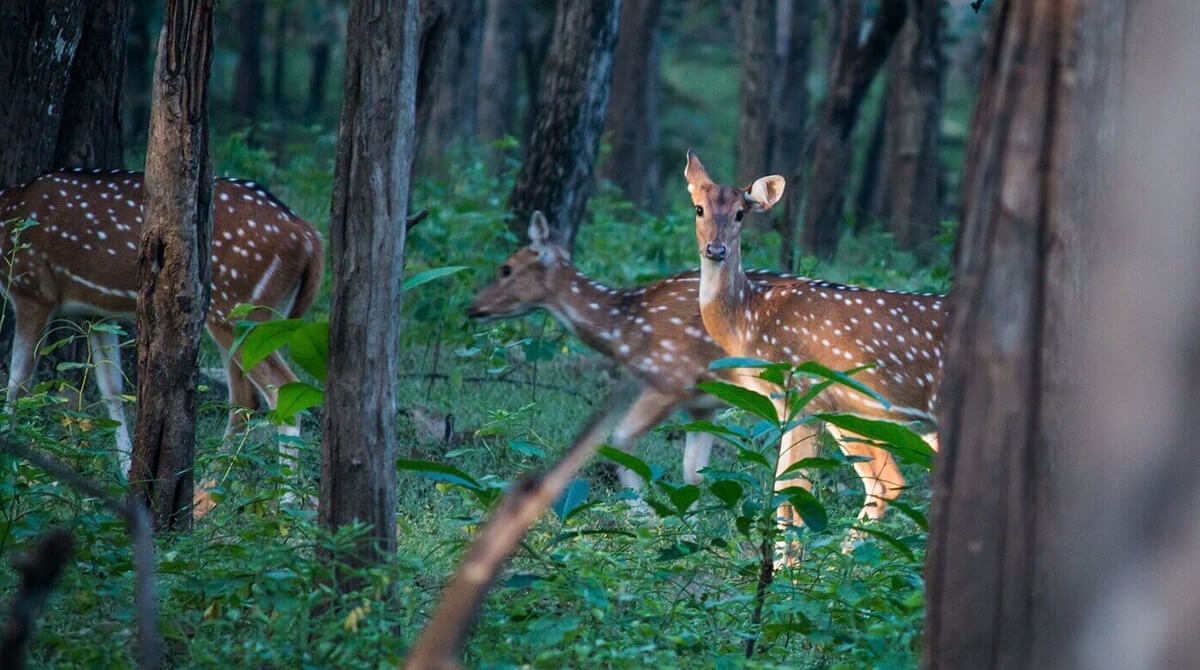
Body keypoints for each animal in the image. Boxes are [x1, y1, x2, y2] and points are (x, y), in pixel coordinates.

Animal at [0, 168, 326, 475]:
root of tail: (309, 237)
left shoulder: (31, 289)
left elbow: (18, 380)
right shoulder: (96, 312)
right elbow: (111, 388)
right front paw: (126, 470)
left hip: (236, 306)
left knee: (279, 390)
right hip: (256, 315)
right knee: (246, 399)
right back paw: (209, 484)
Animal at [468, 212, 796, 492]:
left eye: (506, 268)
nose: (472, 307)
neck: (622, 326)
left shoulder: (668, 379)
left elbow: (620, 443)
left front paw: (644, 515)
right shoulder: (701, 404)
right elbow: (693, 474)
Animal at [686, 149, 945, 533]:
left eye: (739, 213)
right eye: (699, 208)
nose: (715, 249)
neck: (749, 319)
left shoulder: (801, 391)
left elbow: (792, 486)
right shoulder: (800, 405)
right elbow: (784, 483)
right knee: (887, 480)